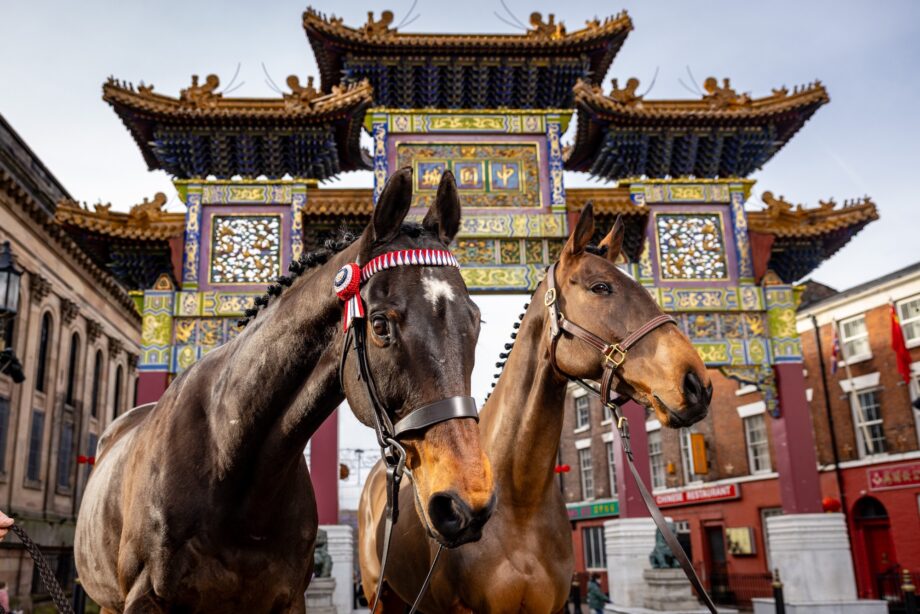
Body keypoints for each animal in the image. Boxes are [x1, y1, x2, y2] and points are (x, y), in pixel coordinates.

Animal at [75, 168, 496, 613]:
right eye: (380, 325)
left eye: (476, 321)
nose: (465, 500)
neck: (231, 465)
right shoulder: (144, 597)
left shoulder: (288, 597)